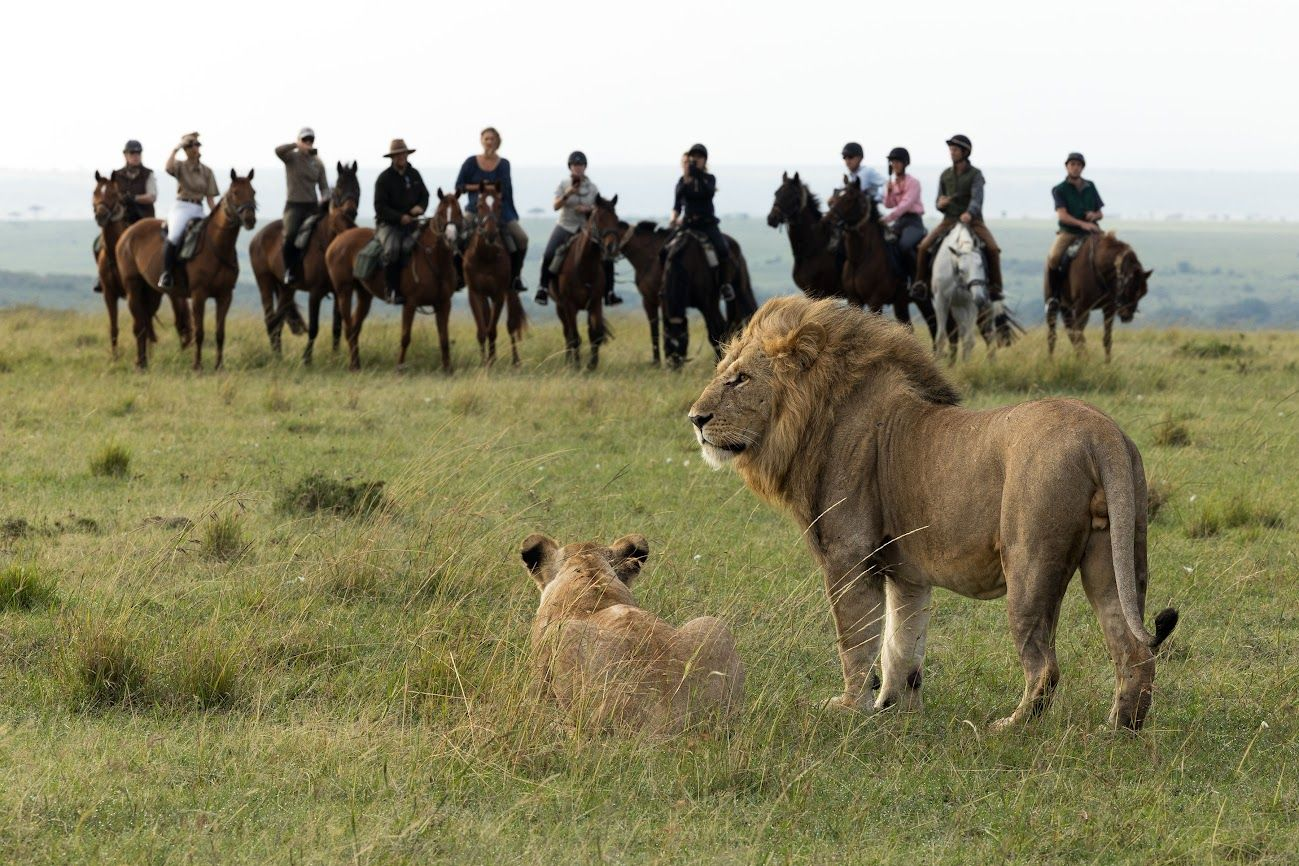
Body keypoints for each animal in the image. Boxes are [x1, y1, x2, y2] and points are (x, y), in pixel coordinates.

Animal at [687, 295, 1178, 730]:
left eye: (740, 379)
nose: (695, 418)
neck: (815, 416)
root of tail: (1102, 431)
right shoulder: (907, 572)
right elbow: (902, 643)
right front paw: (895, 708)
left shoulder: (848, 554)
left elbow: (856, 638)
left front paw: (848, 708)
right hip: (1115, 552)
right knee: (1134, 648)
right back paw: (1121, 728)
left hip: (1030, 564)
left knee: (1045, 666)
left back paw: (1011, 726)